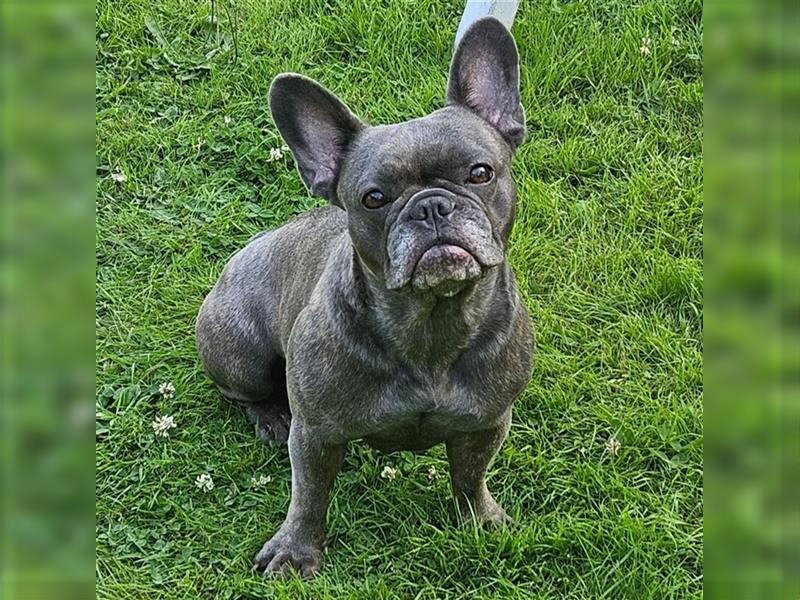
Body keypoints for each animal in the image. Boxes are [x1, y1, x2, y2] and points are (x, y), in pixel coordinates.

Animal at [195, 16, 532, 576]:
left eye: (480, 173)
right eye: (374, 198)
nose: (431, 207)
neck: (430, 323)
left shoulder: (487, 422)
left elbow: (470, 476)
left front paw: (480, 519)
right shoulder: (315, 434)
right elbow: (309, 496)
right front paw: (295, 551)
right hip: (240, 352)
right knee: (242, 391)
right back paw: (270, 415)